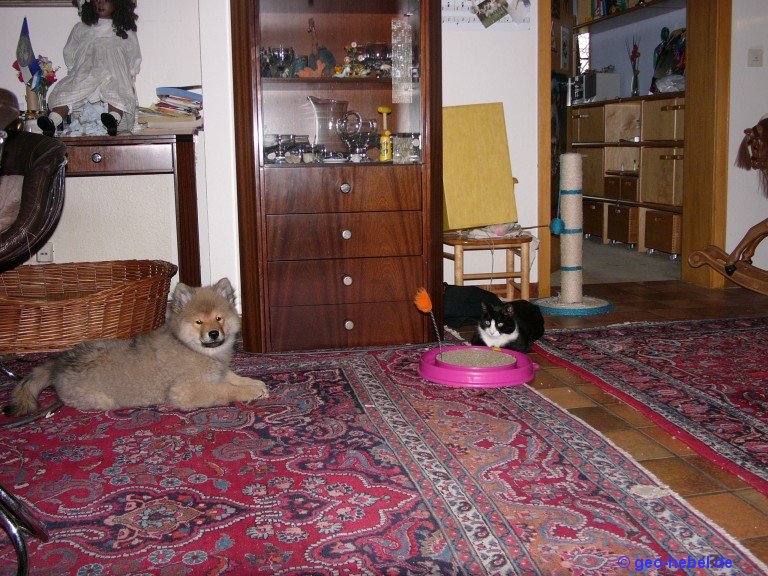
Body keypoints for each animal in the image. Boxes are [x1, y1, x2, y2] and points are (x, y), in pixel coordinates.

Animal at [4, 277, 268, 421]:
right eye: (199, 322)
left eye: (219, 318)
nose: (214, 334)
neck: (191, 348)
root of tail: (60, 363)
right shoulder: (187, 391)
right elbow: (224, 389)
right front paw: (249, 391)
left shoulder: (217, 371)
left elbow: (232, 376)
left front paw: (254, 383)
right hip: (102, 400)